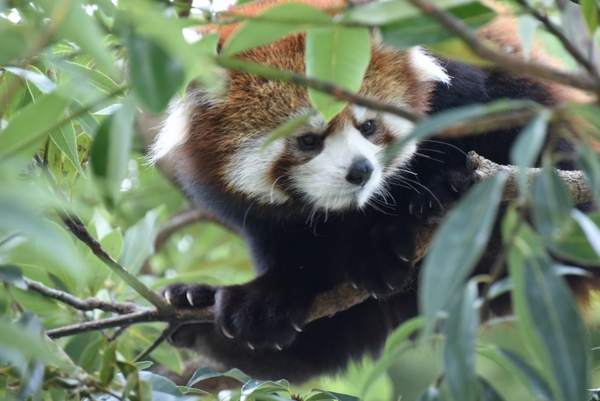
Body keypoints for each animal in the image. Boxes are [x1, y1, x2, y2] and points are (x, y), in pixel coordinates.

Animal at [151, 0, 600, 382]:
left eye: (368, 126)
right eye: (308, 141)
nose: (361, 171)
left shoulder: (474, 84)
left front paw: (395, 228)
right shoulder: (268, 223)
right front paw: (266, 297)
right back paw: (195, 308)